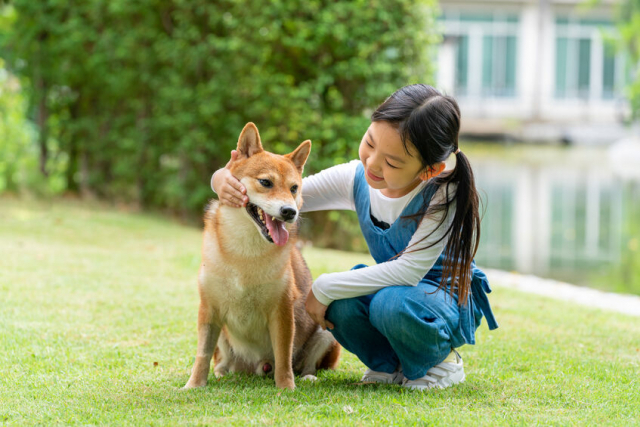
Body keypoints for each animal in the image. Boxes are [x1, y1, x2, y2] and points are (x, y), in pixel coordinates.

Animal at [184, 122, 340, 390]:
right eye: (266, 182)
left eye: (294, 188)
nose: (290, 212)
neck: (245, 254)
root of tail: (256, 368)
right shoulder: (209, 308)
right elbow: (202, 355)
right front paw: (193, 386)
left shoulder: (282, 310)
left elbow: (284, 356)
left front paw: (286, 388)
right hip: (224, 337)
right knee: (221, 362)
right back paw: (222, 373)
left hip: (325, 330)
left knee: (304, 365)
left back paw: (307, 377)